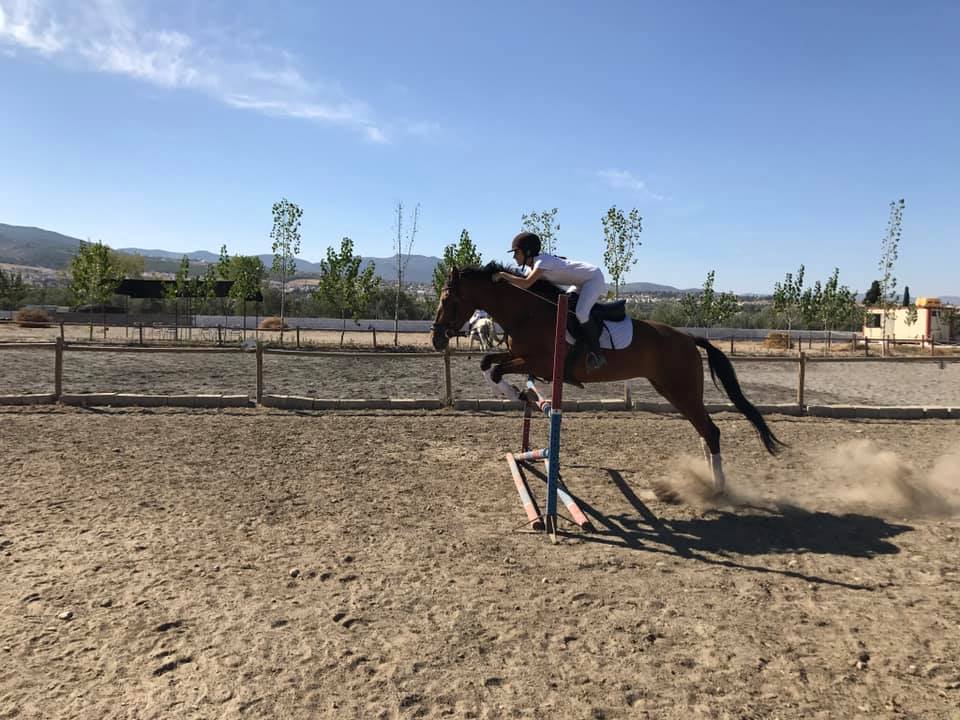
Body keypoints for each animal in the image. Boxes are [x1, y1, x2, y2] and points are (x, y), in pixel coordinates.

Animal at [430, 263, 785, 495]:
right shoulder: (521, 357)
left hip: (681, 390)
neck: (528, 312)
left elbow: (496, 368)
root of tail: (688, 338)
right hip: (672, 390)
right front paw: (515, 393)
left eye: (448, 300)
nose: (436, 339)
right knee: (704, 431)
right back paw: (709, 479)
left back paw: (717, 488)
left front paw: (513, 392)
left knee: (711, 431)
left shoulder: (540, 363)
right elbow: (488, 363)